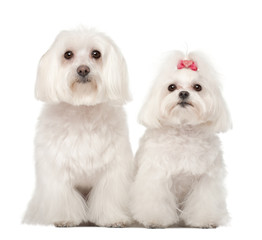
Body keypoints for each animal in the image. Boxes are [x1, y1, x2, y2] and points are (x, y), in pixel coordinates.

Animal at [22, 28, 133, 227]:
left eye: (96, 54)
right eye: (68, 54)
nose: (83, 69)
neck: (82, 109)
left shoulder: (113, 171)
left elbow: (109, 196)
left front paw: (113, 218)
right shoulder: (56, 170)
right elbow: (64, 196)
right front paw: (65, 218)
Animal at [131, 51, 231, 229]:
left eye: (197, 87)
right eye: (171, 87)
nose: (183, 93)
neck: (184, 130)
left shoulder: (206, 180)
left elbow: (205, 201)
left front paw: (205, 221)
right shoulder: (156, 176)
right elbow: (155, 201)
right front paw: (154, 220)